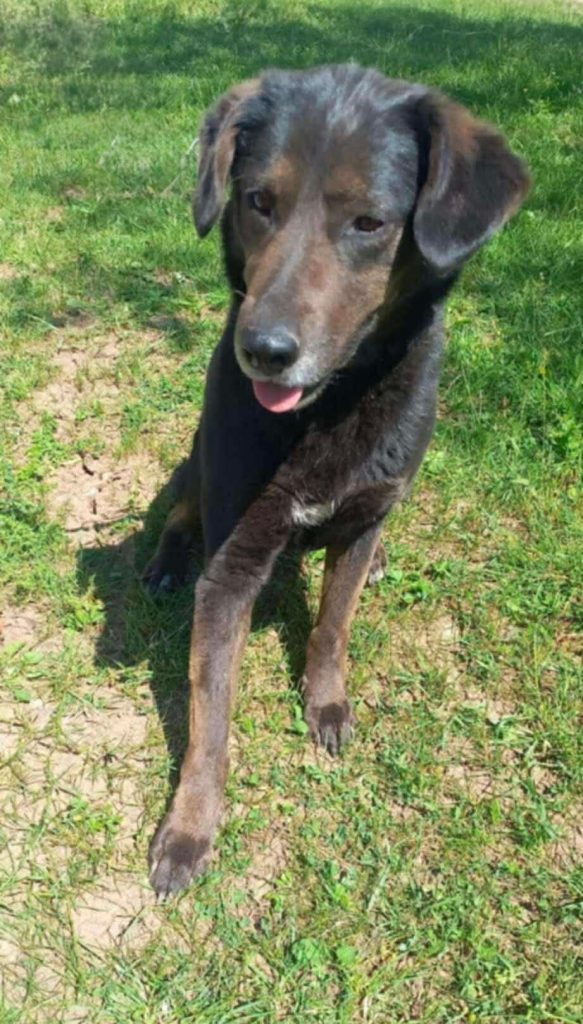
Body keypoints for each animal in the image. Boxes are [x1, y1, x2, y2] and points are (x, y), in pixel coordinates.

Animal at [144, 64, 530, 896]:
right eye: (258, 201)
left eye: (368, 222)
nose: (263, 349)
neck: (328, 408)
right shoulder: (232, 565)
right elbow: (208, 714)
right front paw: (189, 827)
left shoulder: (361, 516)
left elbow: (332, 628)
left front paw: (324, 702)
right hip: (194, 458)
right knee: (180, 512)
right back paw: (162, 561)